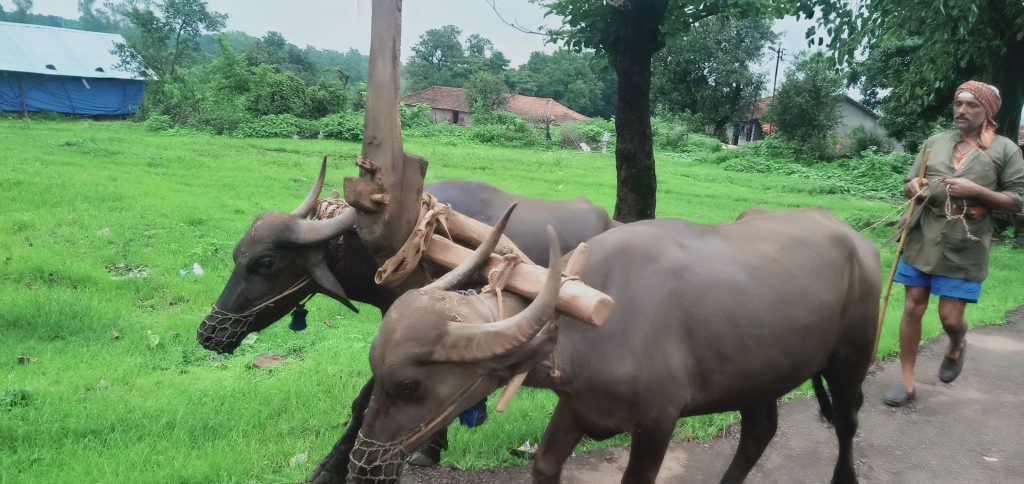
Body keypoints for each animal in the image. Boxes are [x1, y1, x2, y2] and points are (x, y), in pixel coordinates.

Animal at [350, 206, 880, 482]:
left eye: (409, 385)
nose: (362, 462)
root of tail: (857, 241)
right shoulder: (577, 406)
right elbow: (544, 464)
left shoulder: (656, 423)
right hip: (758, 375)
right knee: (759, 430)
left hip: (851, 358)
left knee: (848, 423)